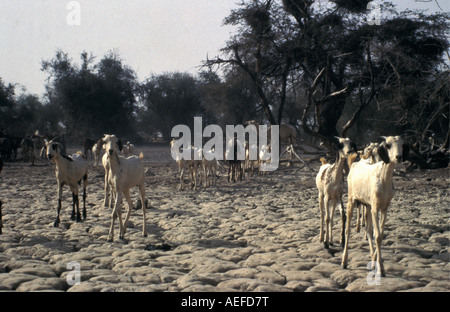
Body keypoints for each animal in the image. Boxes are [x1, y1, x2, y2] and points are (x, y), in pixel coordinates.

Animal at [342, 135, 412, 276]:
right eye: (388, 145)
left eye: (402, 145)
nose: (398, 157)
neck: (384, 180)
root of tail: (355, 164)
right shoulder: (375, 209)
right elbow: (378, 236)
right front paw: (381, 269)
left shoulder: (384, 208)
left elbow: (380, 234)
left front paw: (377, 263)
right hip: (352, 200)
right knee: (347, 230)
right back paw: (344, 261)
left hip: (367, 205)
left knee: (368, 230)